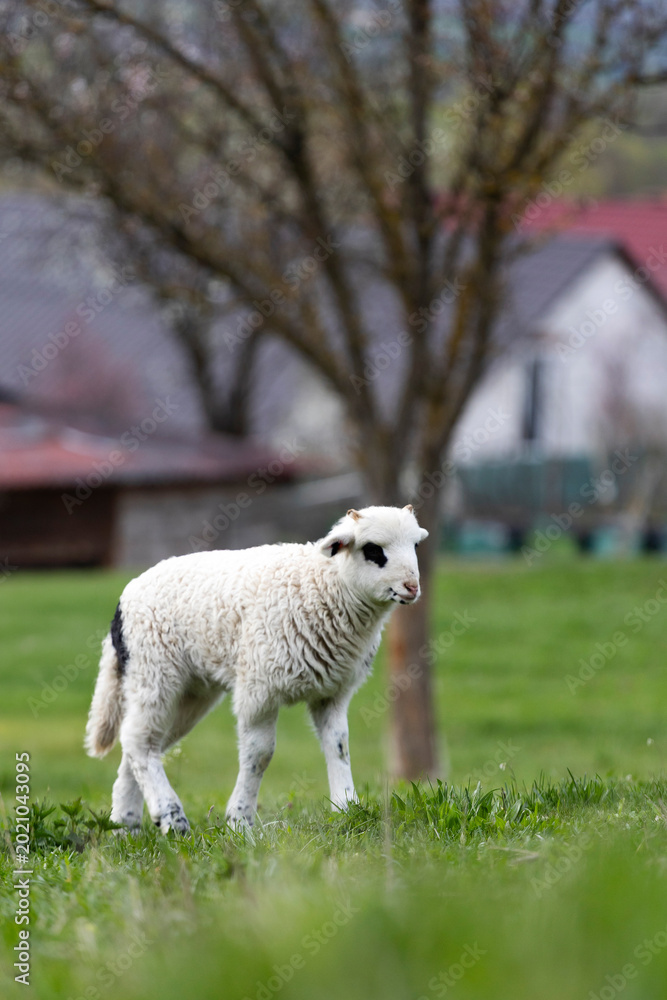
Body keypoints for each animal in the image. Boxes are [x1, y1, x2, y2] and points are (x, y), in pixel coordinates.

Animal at [85, 504, 428, 833]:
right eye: (373, 550)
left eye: (414, 545)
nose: (412, 587)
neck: (324, 584)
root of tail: (122, 605)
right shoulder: (259, 688)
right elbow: (259, 755)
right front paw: (240, 821)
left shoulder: (332, 691)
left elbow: (339, 745)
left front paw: (347, 807)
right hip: (154, 670)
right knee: (138, 741)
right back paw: (171, 818)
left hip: (191, 692)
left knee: (143, 744)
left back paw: (126, 825)